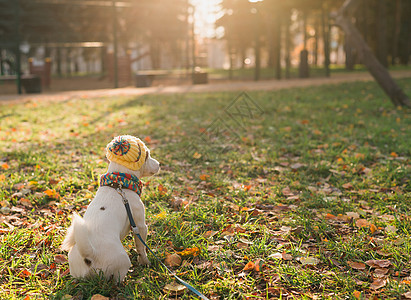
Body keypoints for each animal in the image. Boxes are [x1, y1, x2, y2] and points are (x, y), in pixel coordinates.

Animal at [62, 135, 160, 282]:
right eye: (147, 155)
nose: (159, 164)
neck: (119, 183)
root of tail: (90, 256)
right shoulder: (140, 226)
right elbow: (141, 247)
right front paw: (145, 262)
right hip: (122, 263)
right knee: (117, 279)